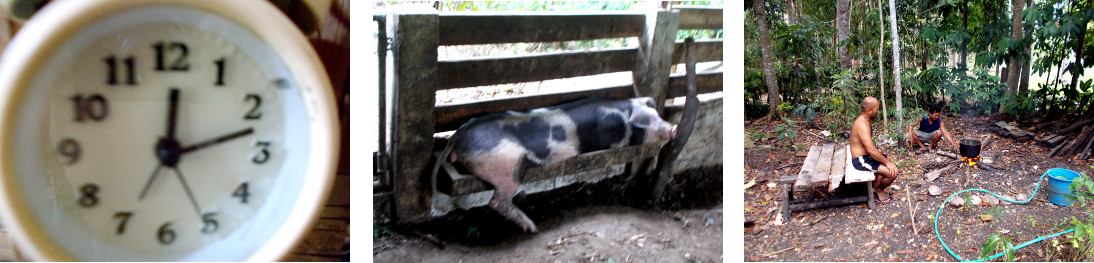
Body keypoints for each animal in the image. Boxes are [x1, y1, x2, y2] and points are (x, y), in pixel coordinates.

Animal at [433, 96, 673, 232]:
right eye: (650, 121)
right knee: (496, 201)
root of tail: (456, 137)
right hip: (508, 164)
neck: (623, 113)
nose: (674, 127)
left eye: (658, 115)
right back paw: (532, 227)